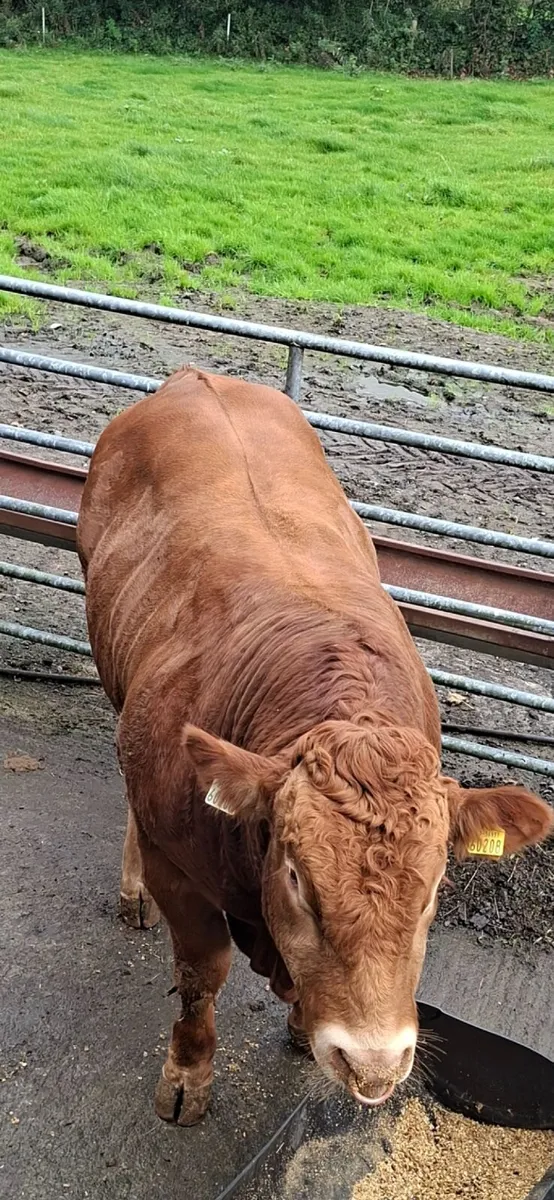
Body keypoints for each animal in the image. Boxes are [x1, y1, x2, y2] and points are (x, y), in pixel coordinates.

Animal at [77, 367, 553, 1126]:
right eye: (299, 879)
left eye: (434, 888)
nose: (375, 1064)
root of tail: (197, 378)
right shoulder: (180, 867)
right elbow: (201, 973)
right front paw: (187, 1078)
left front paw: (304, 1029)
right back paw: (132, 890)